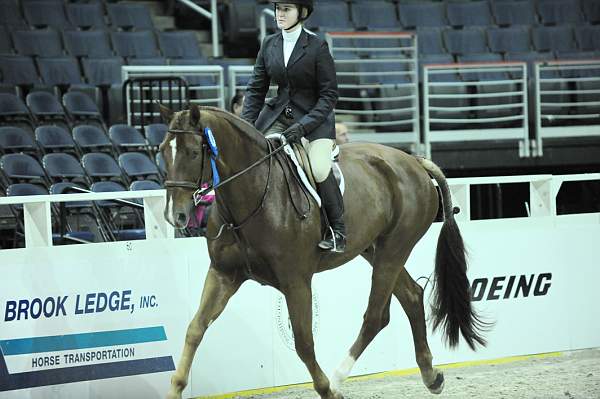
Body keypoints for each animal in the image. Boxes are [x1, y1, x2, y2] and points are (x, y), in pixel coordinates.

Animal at [159, 104, 488, 399]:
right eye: (163, 151)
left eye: (192, 152)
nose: (176, 215)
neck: (254, 196)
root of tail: (414, 161)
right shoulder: (224, 274)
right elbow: (195, 329)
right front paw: (175, 388)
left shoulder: (296, 282)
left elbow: (304, 343)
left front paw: (326, 390)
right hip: (374, 249)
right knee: (410, 296)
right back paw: (431, 376)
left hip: (394, 248)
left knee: (375, 316)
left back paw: (338, 379)